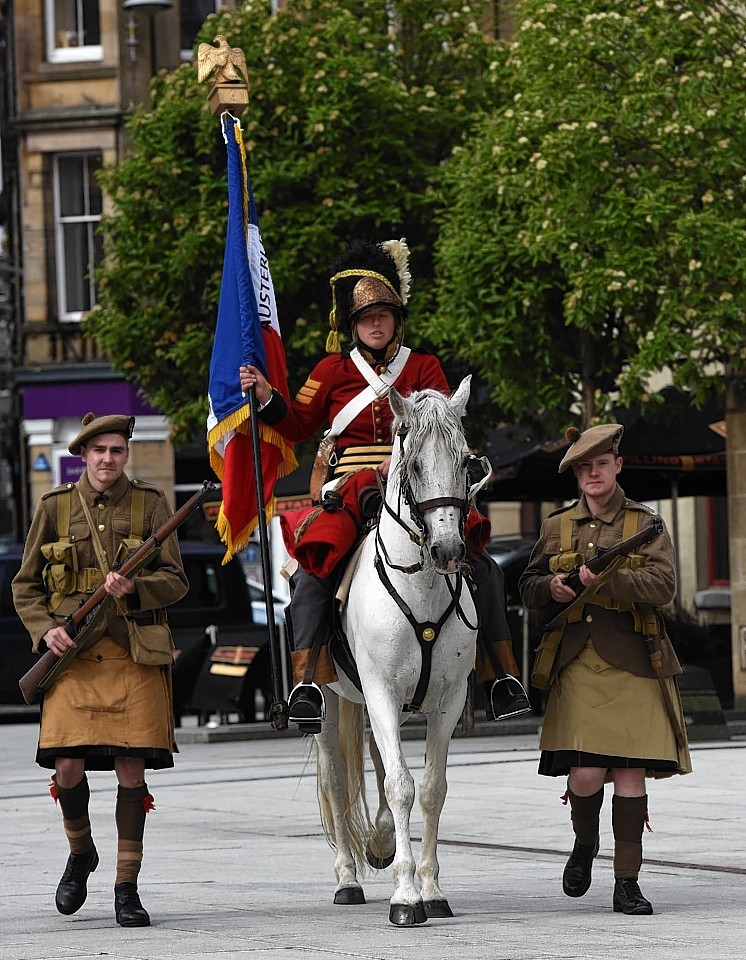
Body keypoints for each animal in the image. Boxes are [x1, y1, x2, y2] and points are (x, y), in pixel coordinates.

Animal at [310, 378, 486, 928]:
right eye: (413, 464)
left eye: (465, 461)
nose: (449, 549)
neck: (420, 587)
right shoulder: (382, 692)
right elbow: (399, 786)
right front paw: (406, 897)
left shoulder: (447, 701)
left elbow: (428, 788)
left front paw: (430, 888)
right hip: (327, 700)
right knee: (337, 781)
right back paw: (347, 878)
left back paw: (382, 842)